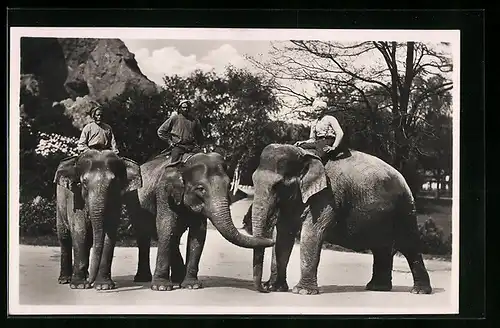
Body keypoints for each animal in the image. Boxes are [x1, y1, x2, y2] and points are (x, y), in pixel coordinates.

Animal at [54, 149, 143, 290]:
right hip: (60, 201)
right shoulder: (75, 197)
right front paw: (79, 285)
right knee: (64, 237)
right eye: (83, 182)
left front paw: (103, 286)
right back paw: (65, 280)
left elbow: (109, 234)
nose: (90, 283)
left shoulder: (116, 200)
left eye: (113, 183)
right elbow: (80, 231)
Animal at [124, 151, 274, 292]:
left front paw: (192, 285)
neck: (184, 163)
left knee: (175, 237)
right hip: (134, 204)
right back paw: (143, 278)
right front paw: (161, 287)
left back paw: (178, 278)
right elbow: (166, 227)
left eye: (228, 186)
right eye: (201, 189)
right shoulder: (164, 193)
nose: (272, 240)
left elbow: (198, 234)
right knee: (144, 235)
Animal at [250, 144, 434, 294]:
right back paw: (377, 288)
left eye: (278, 185)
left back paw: (419, 291)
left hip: (405, 209)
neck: (305, 154)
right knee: (382, 248)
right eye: (253, 180)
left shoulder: (328, 196)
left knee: (409, 246)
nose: (263, 289)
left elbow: (312, 234)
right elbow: (283, 235)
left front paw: (302, 291)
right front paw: (275, 288)